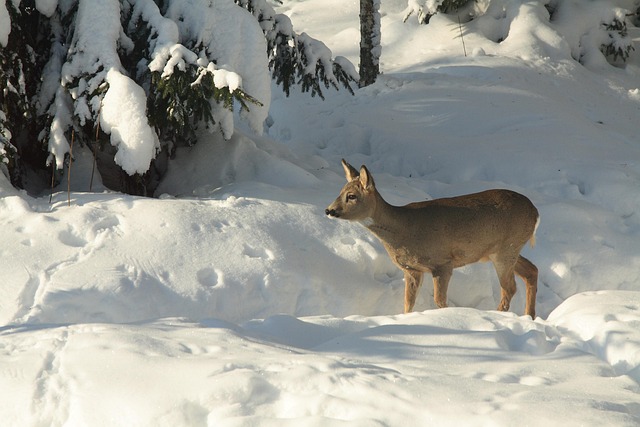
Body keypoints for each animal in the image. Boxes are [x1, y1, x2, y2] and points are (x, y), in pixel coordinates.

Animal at [325, 159, 540, 318]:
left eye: (351, 196)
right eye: (340, 191)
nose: (329, 210)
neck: (403, 229)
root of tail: (535, 212)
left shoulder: (442, 263)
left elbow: (440, 301)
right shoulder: (412, 269)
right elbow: (408, 303)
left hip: (506, 249)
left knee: (510, 288)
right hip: (506, 249)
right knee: (531, 271)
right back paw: (529, 316)